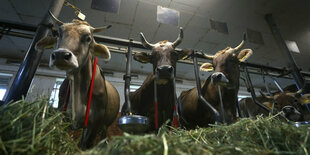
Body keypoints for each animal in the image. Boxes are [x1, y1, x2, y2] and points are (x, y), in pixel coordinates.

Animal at [35, 14, 120, 149]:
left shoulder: (96, 122)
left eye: (88, 38)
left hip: (106, 125)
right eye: (58, 34)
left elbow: (87, 144)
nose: (61, 55)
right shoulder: (63, 115)